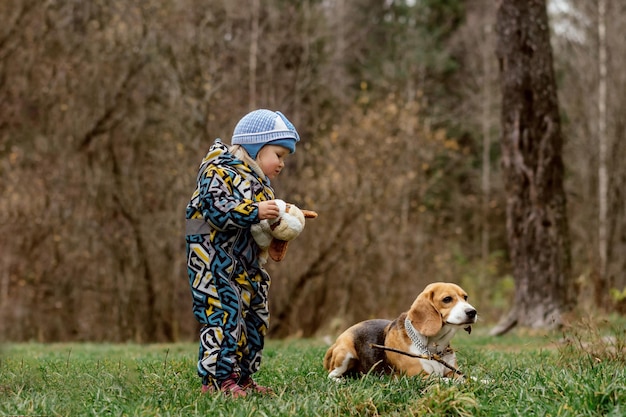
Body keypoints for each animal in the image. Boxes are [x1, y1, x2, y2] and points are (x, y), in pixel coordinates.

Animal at [324, 282, 476, 378]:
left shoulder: (453, 372)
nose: (472, 312)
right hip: (345, 353)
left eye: (465, 297)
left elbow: (469, 378)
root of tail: (336, 341)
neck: (433, 347)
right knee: (331, 374)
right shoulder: (422, 378)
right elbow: (448, 382)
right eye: (447, 299)